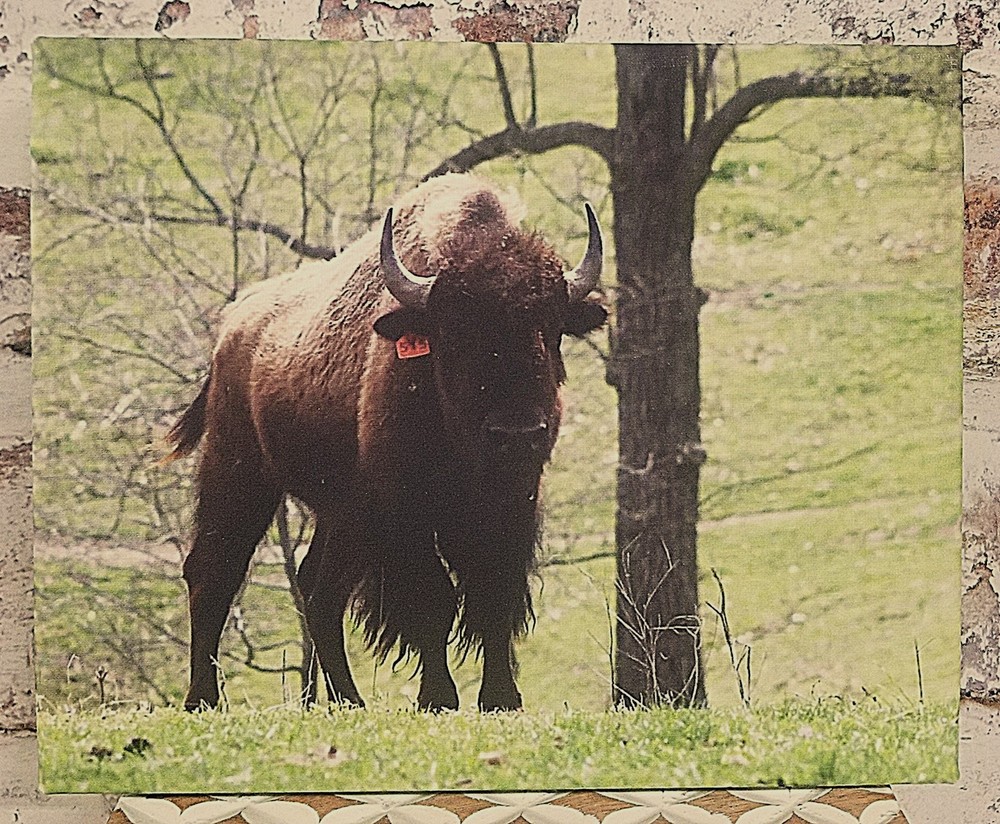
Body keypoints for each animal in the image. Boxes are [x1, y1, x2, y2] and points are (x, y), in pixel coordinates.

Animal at [167, 174, 606, 711]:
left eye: (550, 329)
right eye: (456, 333)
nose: (517, 433)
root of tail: (233, 327)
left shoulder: (511, 505)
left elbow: (493, 594)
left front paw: (501, 698)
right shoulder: (405, 511)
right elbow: (433, 600)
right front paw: (438, 698)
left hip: (341, 513)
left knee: (318, 590)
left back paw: (342, 699)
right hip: (239, 472)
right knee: (215, 572)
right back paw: (203, 699)